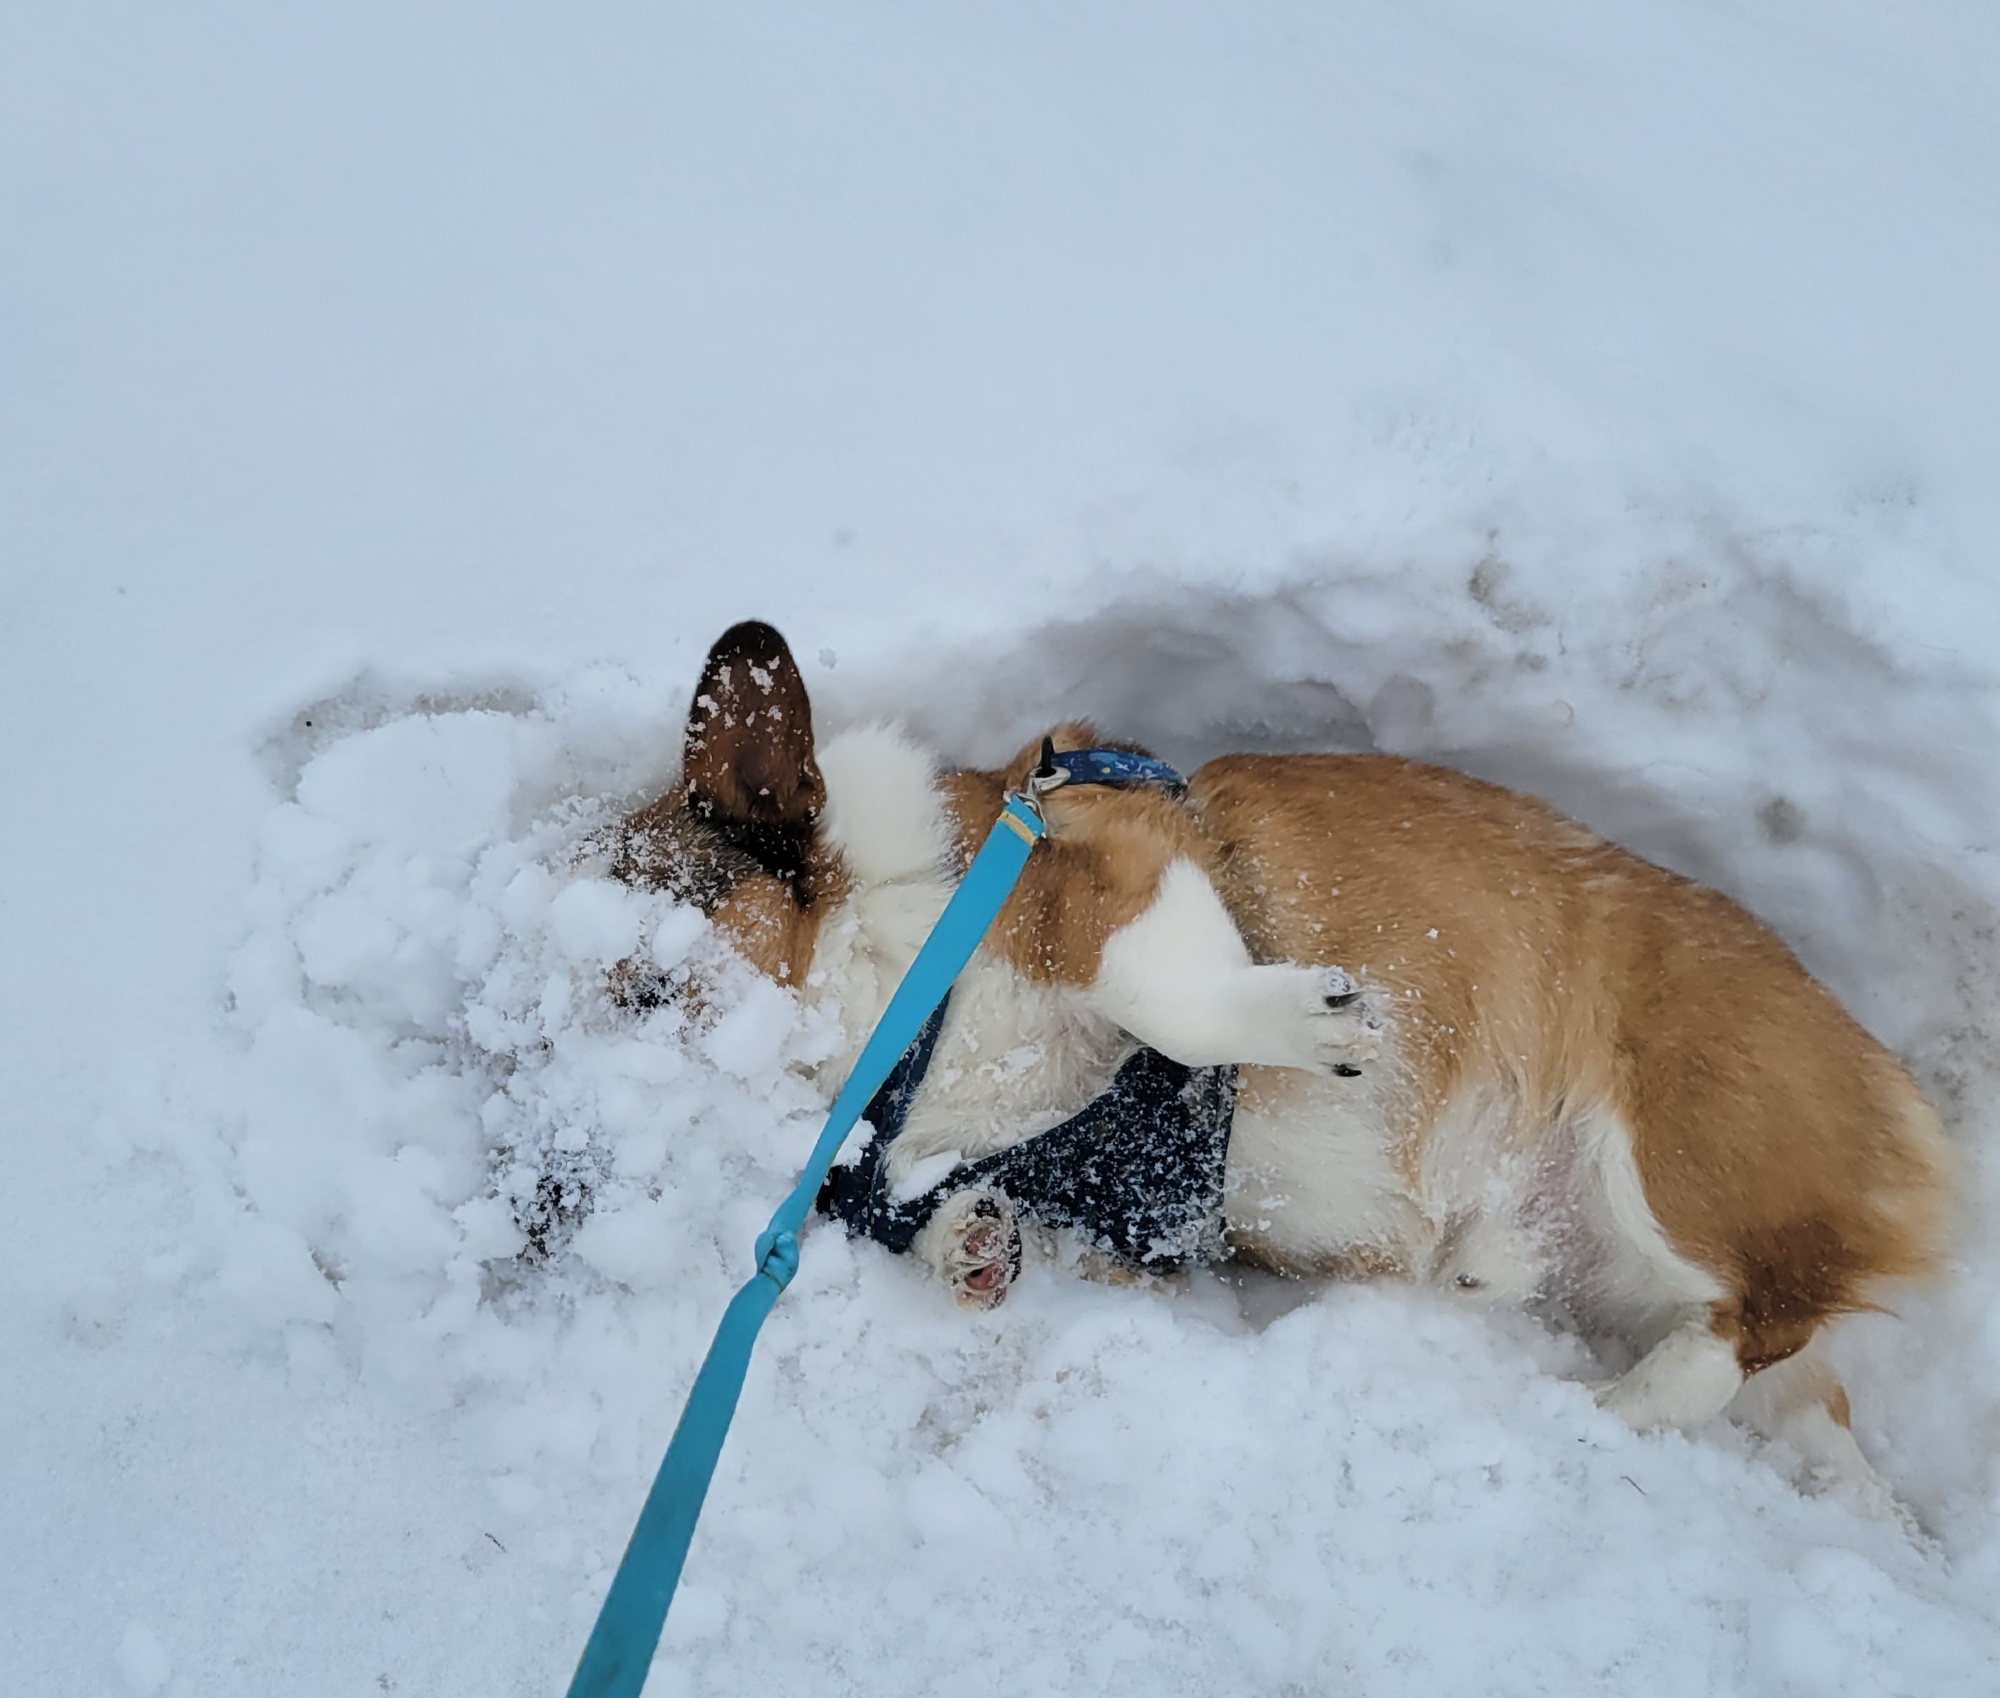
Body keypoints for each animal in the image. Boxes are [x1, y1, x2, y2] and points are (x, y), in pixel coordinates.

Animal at [612, 620, 1953, 1511]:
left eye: (634, 982)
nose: (571, 1173)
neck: (907, 1019)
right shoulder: (1116, 1204)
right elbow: (983, 1212)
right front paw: (969, 1247)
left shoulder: (1111, 876)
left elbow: (1166, 990)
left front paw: (1311, 1023)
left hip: (1670, 1153)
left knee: (1761, 1310)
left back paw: (1609, 1405)